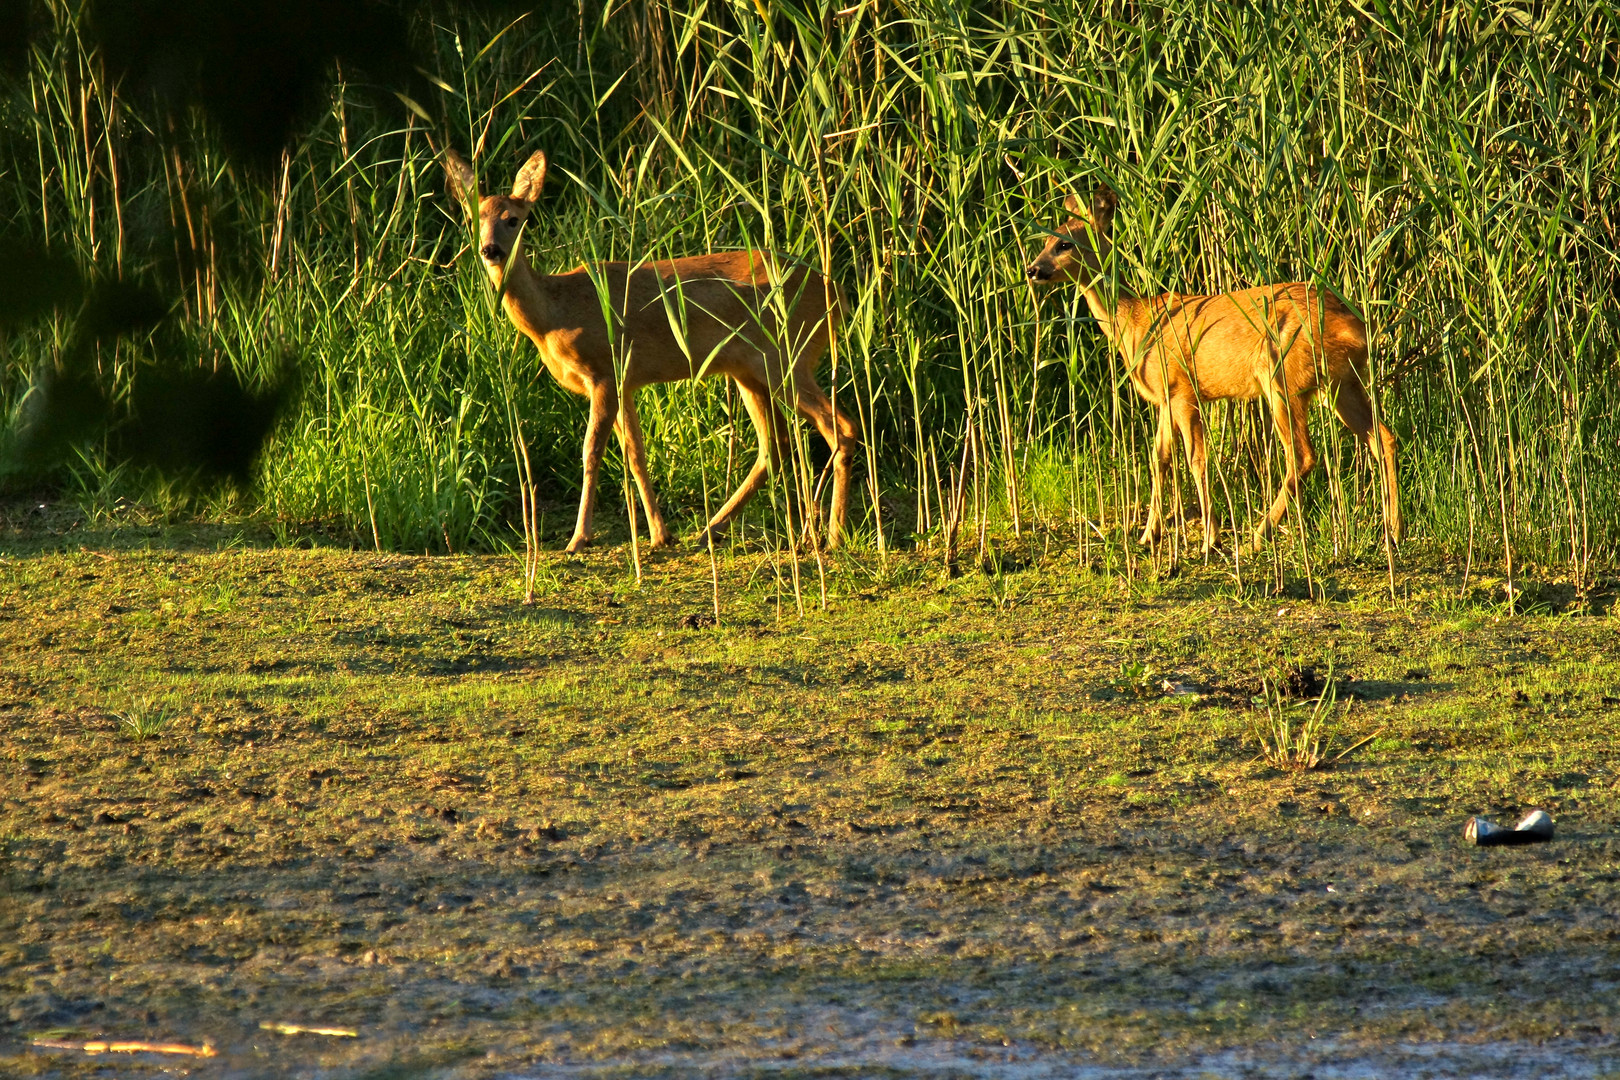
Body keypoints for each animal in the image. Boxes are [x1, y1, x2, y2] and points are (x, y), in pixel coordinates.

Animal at [437, 148, 855, 553]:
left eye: (513, 219)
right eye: (473, 219)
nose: (490, 249)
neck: (554, 313)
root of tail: (836, 294)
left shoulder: (605, 371)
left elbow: (591, 452)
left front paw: (579, 539)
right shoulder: (626, 383)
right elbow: (636, 454)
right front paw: (659, 536)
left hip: (786, 356)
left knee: (838, 427)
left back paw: (832, 536)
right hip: (748, 369)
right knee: (776, 445)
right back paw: (711, 531)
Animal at [1030, 186, 1399, 553]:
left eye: (1063, 244)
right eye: (1044, 240)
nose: (1033, 269)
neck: (1136, 322)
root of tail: (1357, 326)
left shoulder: (1183, 390)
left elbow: (1196, 460)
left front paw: (1210, 538)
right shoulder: (1165, 398)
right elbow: (1159, 459)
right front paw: (1149, 535)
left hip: (1283, 378)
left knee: (1302, 455)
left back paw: (1256, 537)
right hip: (1340, 383)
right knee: (1383, 438)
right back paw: (1394, 532)